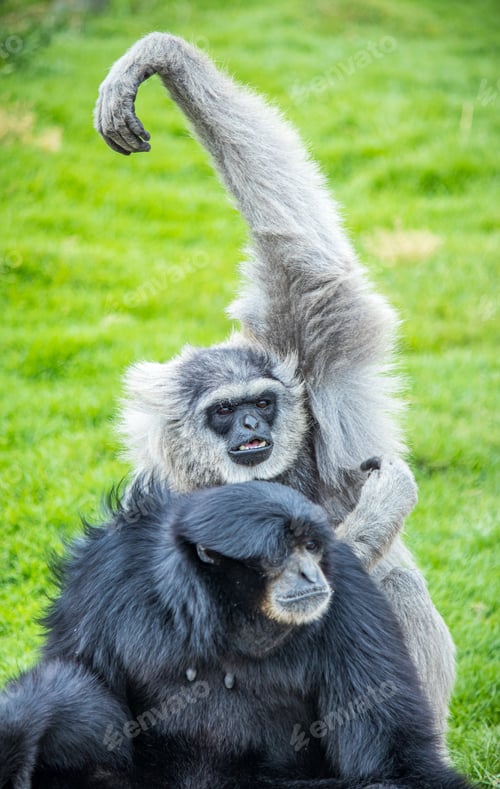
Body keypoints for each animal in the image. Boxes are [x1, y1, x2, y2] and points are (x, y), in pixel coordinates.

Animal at [0, 479, 472, 789]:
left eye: (310, 547)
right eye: (282, 552)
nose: (310, 572)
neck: (222, 618)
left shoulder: (347, 590)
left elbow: (394, 766)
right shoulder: (101, 574)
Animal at [93, 32, 456, 733]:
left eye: (261, 402)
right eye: (224, 412)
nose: (254, 426)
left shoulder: (308, 352)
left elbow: (303, 258)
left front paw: (162, 57)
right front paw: (377, 512)